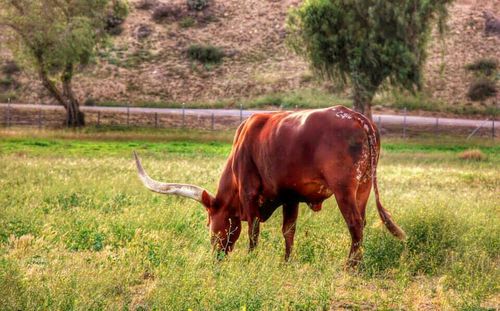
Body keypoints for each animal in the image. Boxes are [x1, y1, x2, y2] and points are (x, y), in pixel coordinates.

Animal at [134, 106, 406, 266]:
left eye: (210, 224)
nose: (217, 258)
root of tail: (359, 119)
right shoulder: (291, 196)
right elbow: (288, 231)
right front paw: (286, 262)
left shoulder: (249, 192)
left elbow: (253, 230)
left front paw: (251, 259)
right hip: (364, 187)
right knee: (362, 222)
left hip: (344, 189)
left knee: (355, 224)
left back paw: (350, 266)